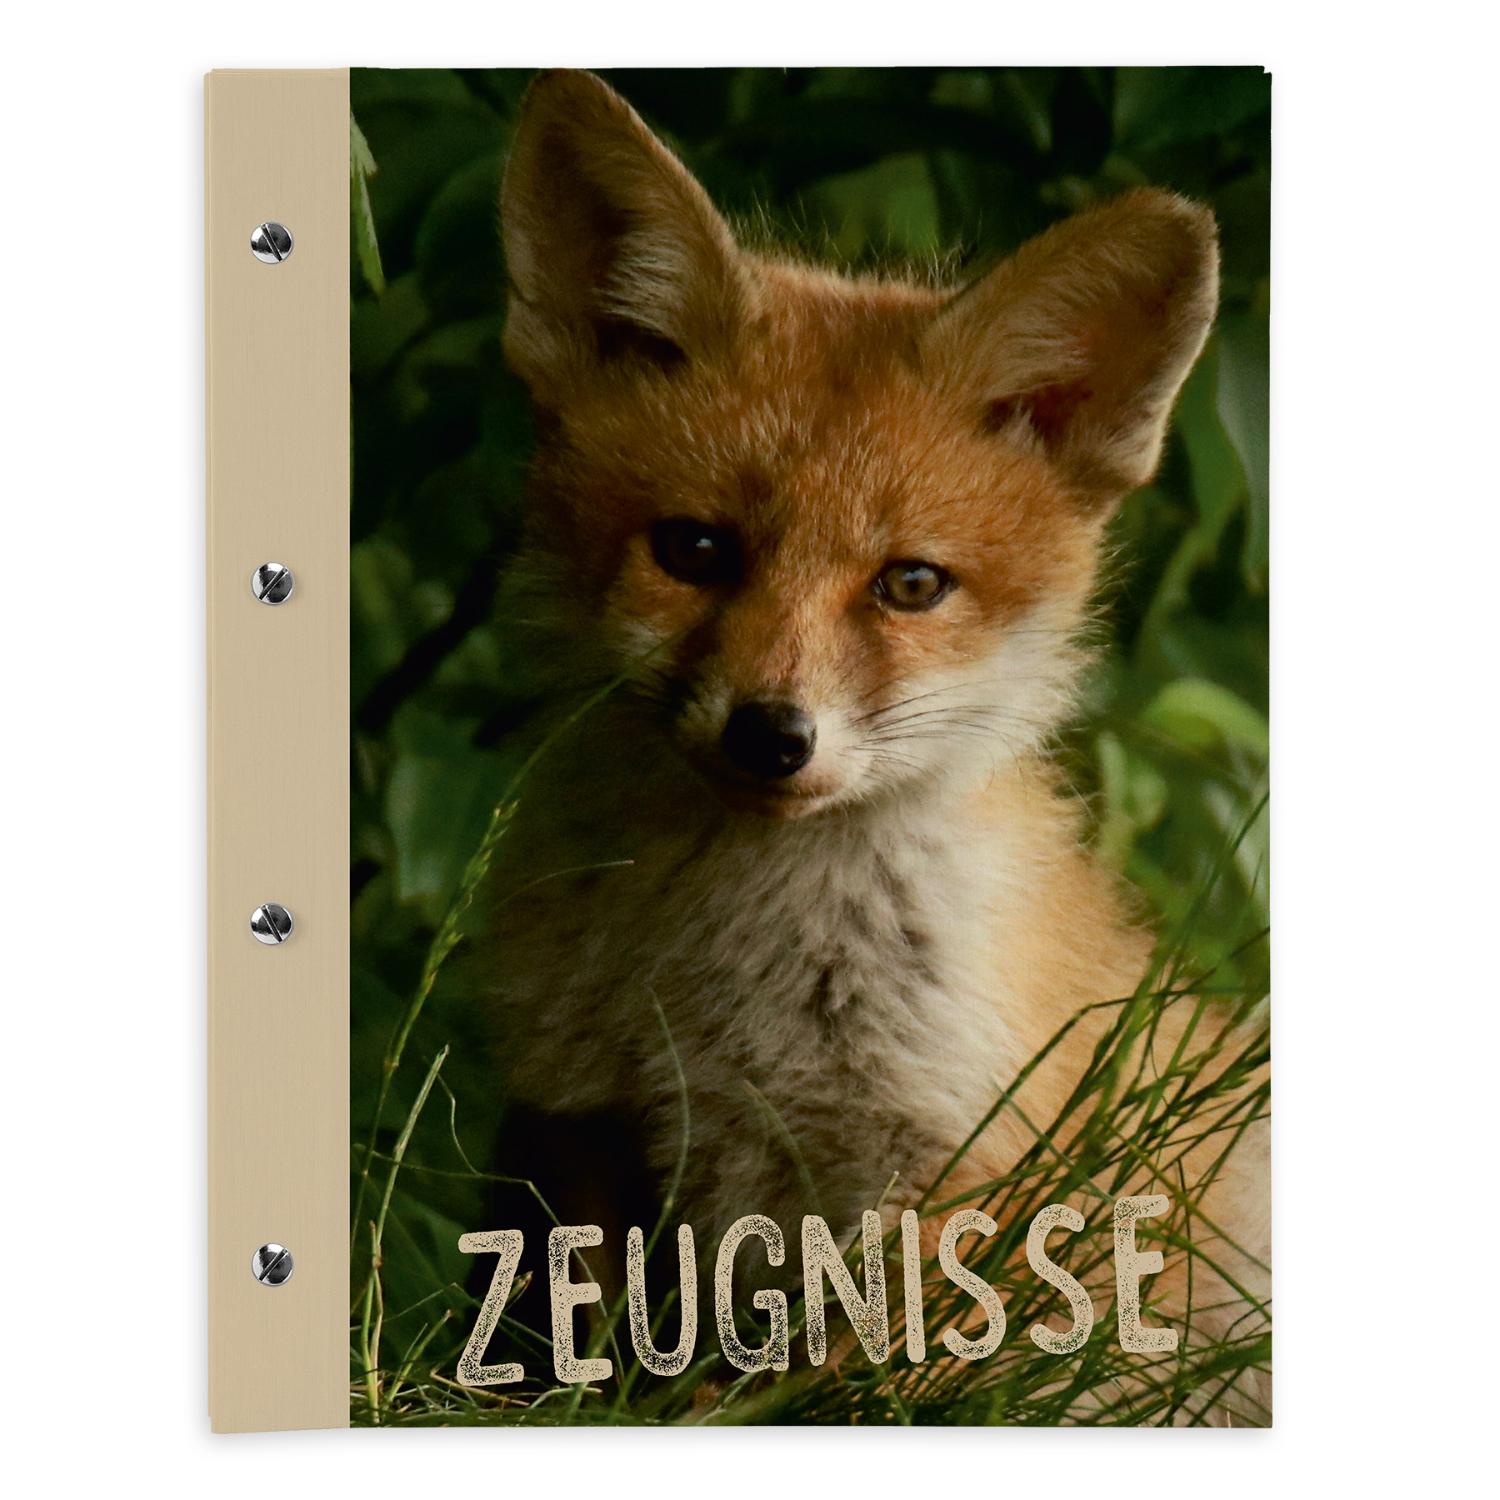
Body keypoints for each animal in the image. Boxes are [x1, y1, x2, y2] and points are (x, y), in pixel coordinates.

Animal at [474, 69, 1268, 1411]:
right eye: (694, 550)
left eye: (910, 584)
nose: (772, 735)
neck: (731, 989)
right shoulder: (576, 1122)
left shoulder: (953, 1181)